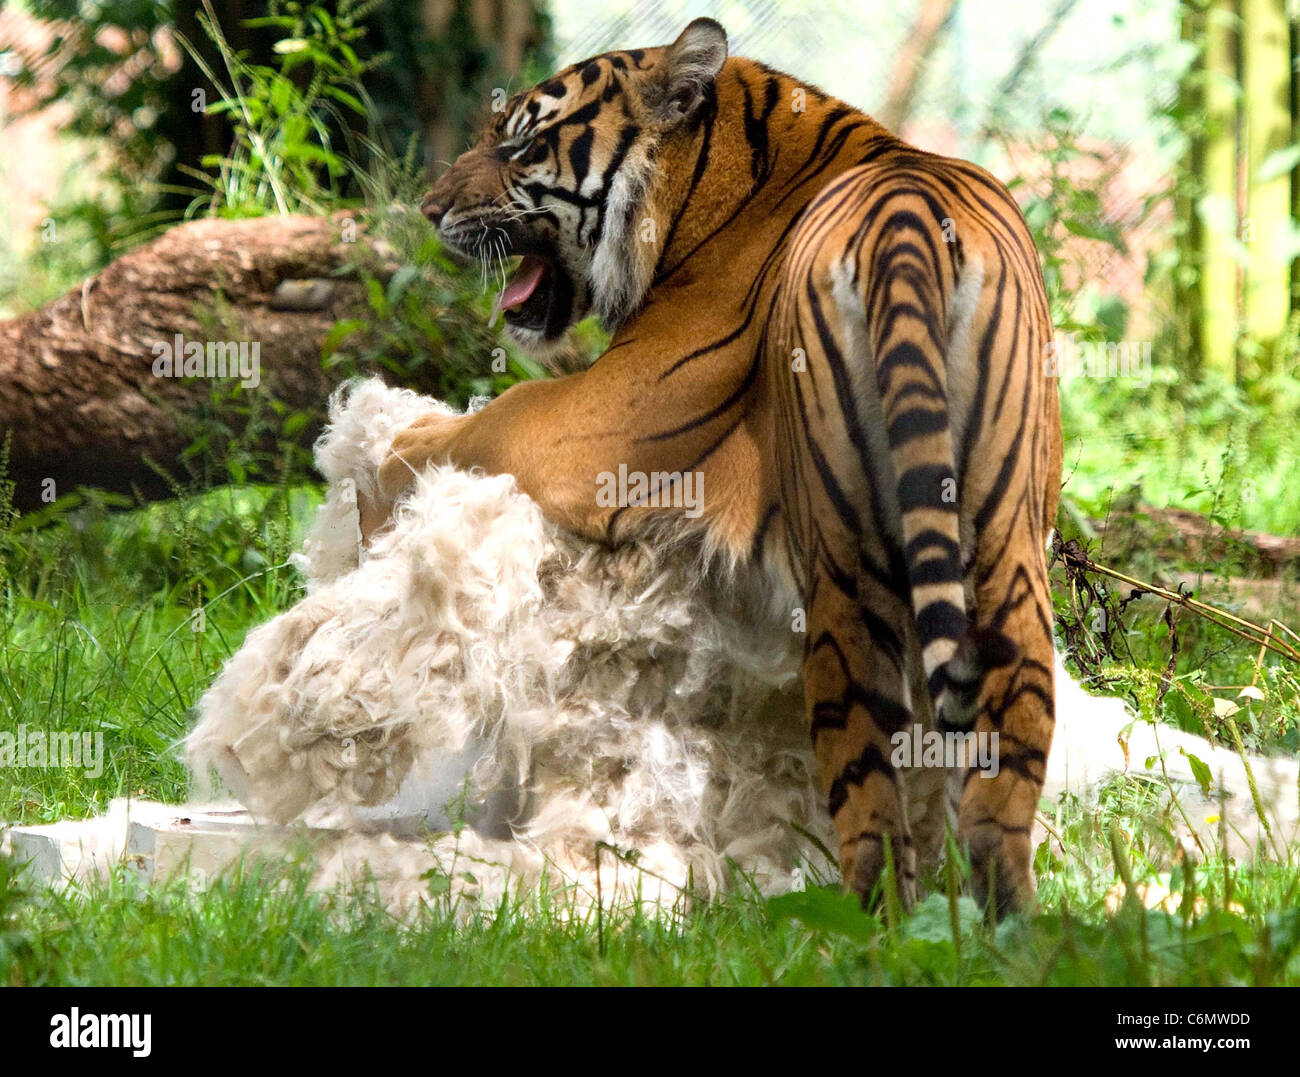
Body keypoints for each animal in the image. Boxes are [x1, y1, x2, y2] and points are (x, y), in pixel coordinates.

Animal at [353, 16, 1055, 910]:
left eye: (521, 145)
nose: (428, 208)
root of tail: (905, 217)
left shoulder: (597, 422)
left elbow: (487, 416)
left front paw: (378, 471)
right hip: (1006, 548)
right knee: (1004, 775)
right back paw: (1006, 920)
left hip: (842, 566)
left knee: (866, 786)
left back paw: (869, 918)